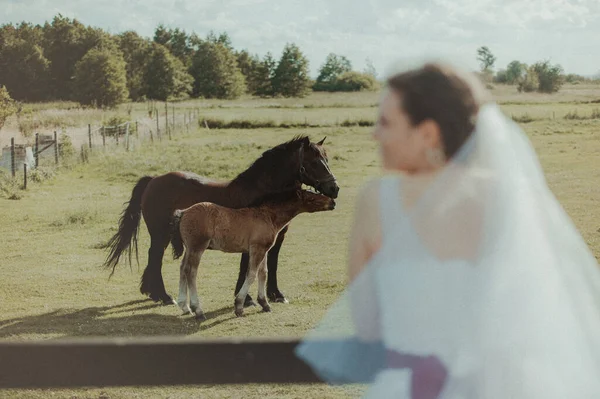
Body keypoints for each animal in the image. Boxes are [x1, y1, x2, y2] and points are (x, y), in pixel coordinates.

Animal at [102, 136, 338, 304]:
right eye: (314, 162)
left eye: (327, 160)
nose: (334, 188)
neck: (261, 191)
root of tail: (153, 180)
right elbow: (246, 265)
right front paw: (247, 298)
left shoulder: (278, 237)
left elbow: (272, 263)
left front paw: (276, 295)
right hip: (159, 234)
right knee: (155, 256)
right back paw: (163, 296)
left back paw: (151, 292)